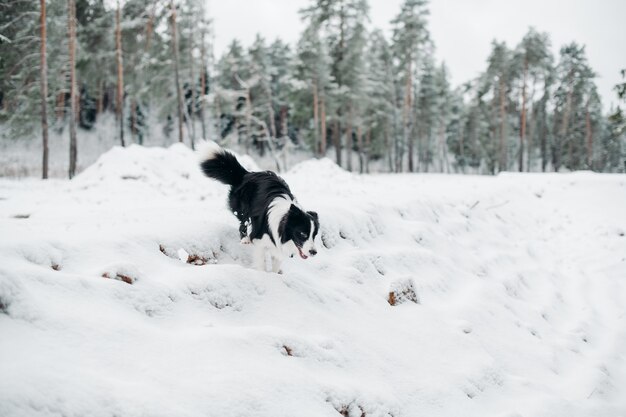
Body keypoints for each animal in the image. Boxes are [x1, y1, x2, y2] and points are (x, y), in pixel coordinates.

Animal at [199, 141, 320, 272]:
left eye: (314, 235)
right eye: (303, 234)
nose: (314, 252)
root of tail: (247, 174)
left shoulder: (278, 247)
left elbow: (276, 263)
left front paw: (274, 274)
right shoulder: (260, 241)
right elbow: (261, 262)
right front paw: (262, 274)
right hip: (243, 209)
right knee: (243, 223)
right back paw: (245, 240)